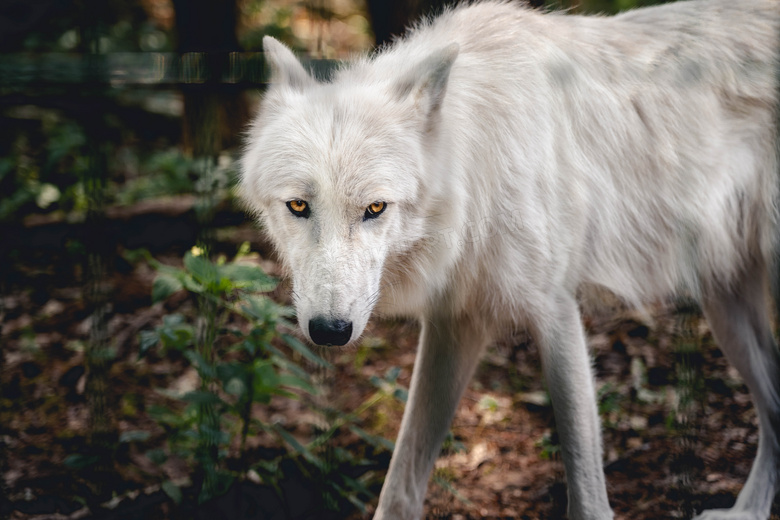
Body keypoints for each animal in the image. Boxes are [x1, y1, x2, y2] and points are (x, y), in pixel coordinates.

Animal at [241, 0, 780, 516]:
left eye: (375, 208)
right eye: (298, 206)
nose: (329, 331)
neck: (476, 168)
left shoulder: (556, 313)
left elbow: (587, 497)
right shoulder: (454, 323)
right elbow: (399, 489)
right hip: (725, 305)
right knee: (773, 407)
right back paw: (746, 513)